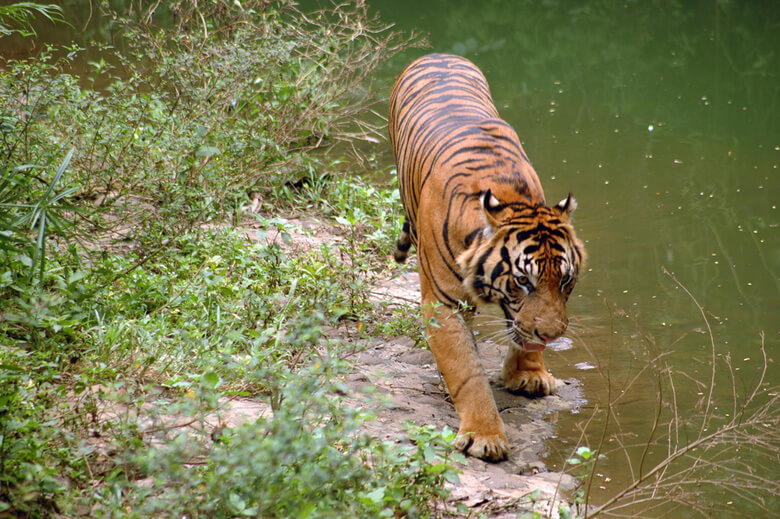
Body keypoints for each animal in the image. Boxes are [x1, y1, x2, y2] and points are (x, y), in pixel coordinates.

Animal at [390, 54, 584, 464]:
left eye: (564, 280)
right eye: (523, 281)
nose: (552, 336)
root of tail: (438, 54)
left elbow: (520, 333)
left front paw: (529, 374)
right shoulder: (442, 305)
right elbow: (467, 372)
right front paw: (484, 436)